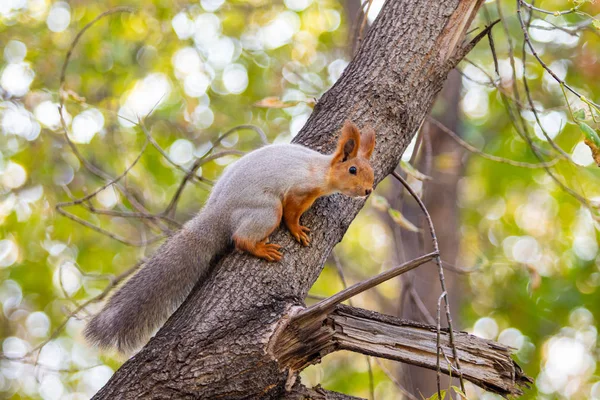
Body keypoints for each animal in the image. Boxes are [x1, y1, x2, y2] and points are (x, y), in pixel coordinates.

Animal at [84, 120, 376, 352]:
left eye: (371, 172)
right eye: (352, 170)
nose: (368, 190)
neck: (322, 171)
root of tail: (219, 210)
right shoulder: (298, 190)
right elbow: (291, 213)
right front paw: (297, 230)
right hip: (266, 209)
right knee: (241, 238)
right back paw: (261, 249)